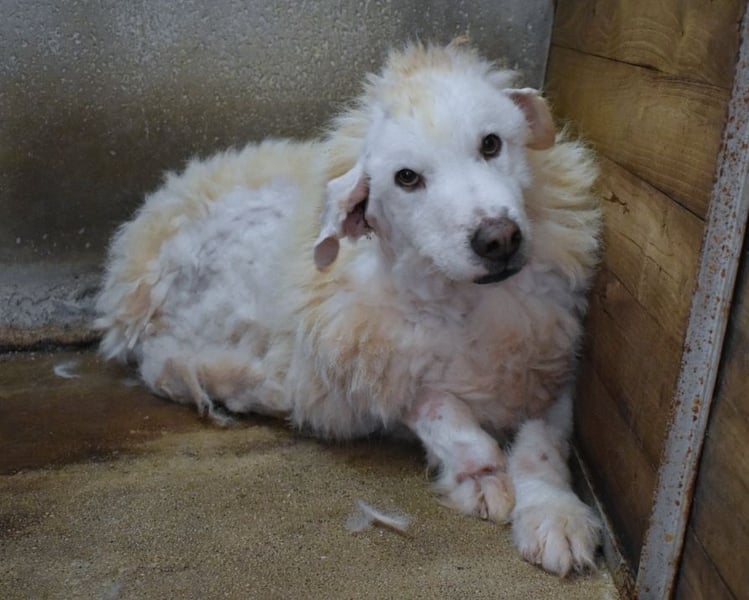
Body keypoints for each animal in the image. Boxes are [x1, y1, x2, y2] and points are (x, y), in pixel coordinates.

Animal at [95, 40, 602, 575]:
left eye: (491, 144)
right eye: (406, 178)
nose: (498, 239)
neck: (466, 306)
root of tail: (127, 273)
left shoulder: (551, 367)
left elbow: (543, 444)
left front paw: (555, 515)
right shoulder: (363, 372)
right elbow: (436, 407)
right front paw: (478, 472)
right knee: (167, 363)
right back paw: (259, 385)